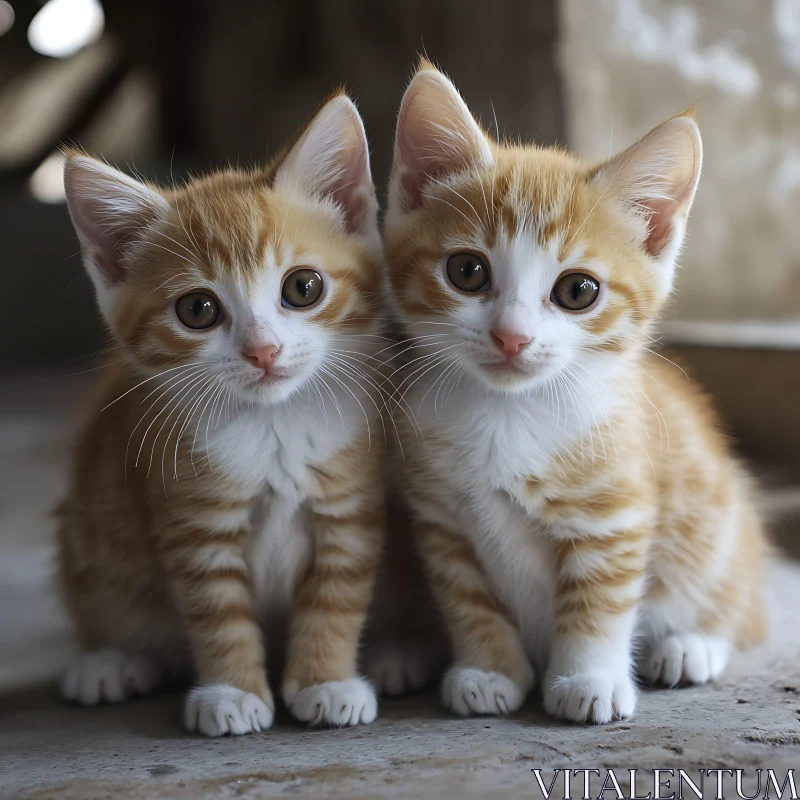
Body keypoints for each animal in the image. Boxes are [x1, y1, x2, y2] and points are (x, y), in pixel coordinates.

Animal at [384, 62, 764, 724]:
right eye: (467, 272)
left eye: (577, 291)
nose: (512, 337)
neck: (506, 413)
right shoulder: (439, 517)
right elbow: (466, 597)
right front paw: (488, 669)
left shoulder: (616, 512)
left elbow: (598, 603)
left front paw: (588, 680)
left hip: (715, 522)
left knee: (735, 597)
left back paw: (691, 644)